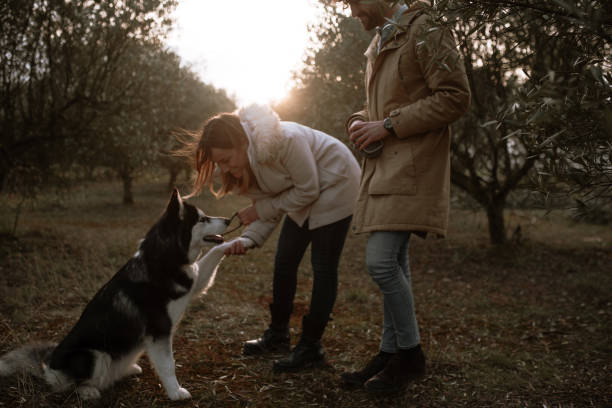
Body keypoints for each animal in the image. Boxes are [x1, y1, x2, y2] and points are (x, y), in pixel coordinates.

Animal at [0, 190, 253, 400]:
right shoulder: (159, 330)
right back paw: (88, 391)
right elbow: (168, 365)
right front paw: (175, 392)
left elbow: (216, 250)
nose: (228, 220)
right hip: (93, 355)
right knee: (70, 385)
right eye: (202, 219)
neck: (165, 259)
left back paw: (127, 370)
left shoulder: (196, 282)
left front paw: (243, 240)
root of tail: (49, 365)